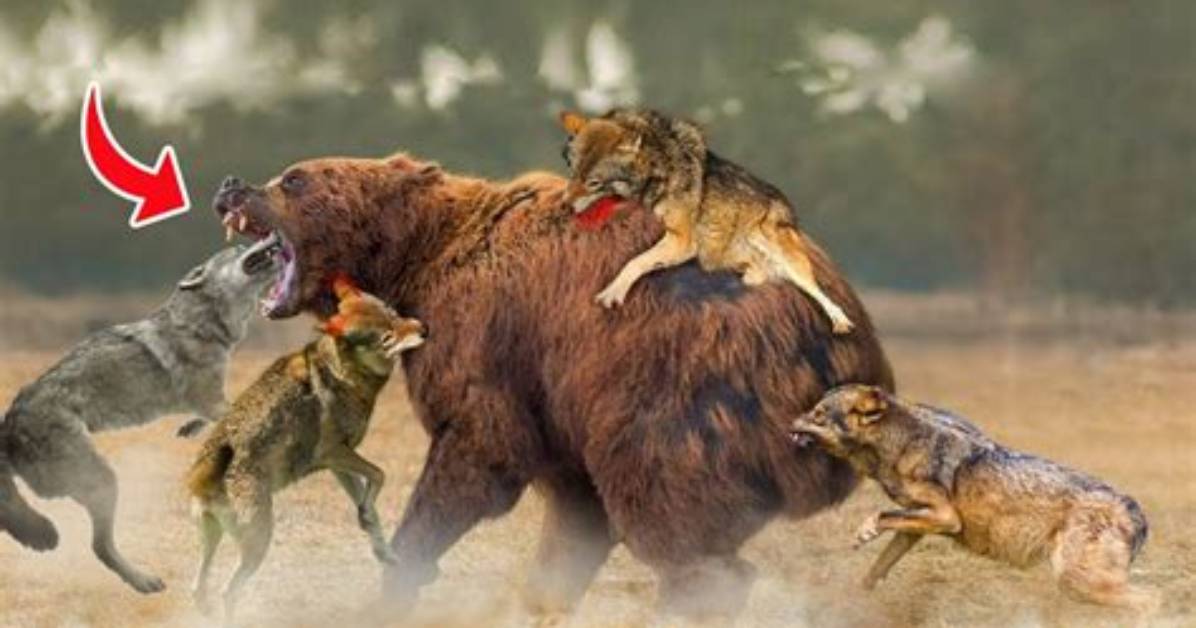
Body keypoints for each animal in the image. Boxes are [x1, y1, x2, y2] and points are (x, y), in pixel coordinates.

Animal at [0, 241, 280, 593]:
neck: (200, 325)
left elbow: (214, 417)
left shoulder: (206, 401)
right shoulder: (208, 398)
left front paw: (189, 428)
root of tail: (9, 425)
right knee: (100, 547)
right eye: (238, 248)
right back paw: (143, 581)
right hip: (104, 480)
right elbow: (237, 408)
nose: (269, 240)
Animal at [187, 275, 425, 620]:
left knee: (198, 589)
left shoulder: (338, 465)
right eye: (386, 337)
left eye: (394, 313)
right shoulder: (334, 453)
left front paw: (381, 545)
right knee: (227, 592)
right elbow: (381, 474)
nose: (425, 329)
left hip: (215, 541)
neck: (343, 372)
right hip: (258, 545)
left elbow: (370, 506)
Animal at [558, 108, 854, 334]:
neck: (657, 171)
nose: (563, 206)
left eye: (594, 183)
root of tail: (787, 207)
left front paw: (613, 293)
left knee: (819, 292)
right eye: (572, 172)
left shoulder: (682, 241)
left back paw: (841, 322)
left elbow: (635, 261)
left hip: (782, 254)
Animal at [790, 384, 1157, 612]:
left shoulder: (945, 518)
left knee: (1154, 600)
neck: (901, 444)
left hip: (1077, 581)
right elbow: (878, 566)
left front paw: (863, 532)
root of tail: (1136, 510)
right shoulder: (917, 524)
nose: (789, 423)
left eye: (818, 415)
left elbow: (880, 515)